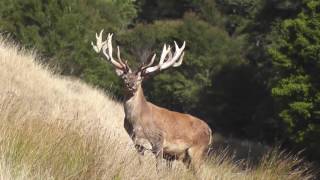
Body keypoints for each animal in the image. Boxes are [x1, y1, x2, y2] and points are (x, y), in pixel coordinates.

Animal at [91, 29, 214, 172]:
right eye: (125, 78)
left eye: (140, 79)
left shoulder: (159, 140)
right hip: (187, 158)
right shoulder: (137, 142)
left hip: (197, 151)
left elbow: (158, 169)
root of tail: (210, 131)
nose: (131, 85)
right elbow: (140, 164)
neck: (137, 121)